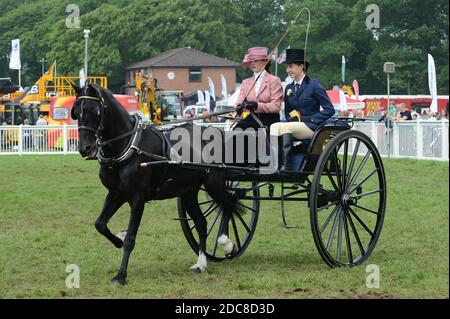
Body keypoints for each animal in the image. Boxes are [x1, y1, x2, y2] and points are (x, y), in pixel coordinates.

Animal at [71, 83, 243, 284]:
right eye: (76, 112)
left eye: (94, 110)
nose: (85, 148)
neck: (128, 145)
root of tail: (215, 131)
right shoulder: (116, 194)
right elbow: (100, 224)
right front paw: (118, 240)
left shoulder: (138, 198)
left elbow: (131, 238)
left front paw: (121, 275)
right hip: (188, 192)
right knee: (201, 223)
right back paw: (201, 263)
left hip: (214, 183)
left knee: (229, 204)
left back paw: (226, 243)